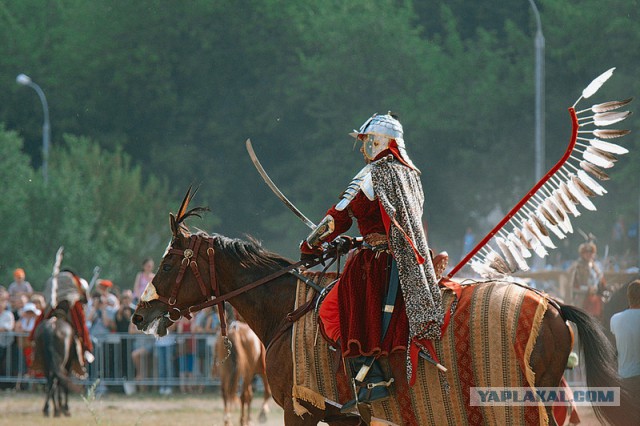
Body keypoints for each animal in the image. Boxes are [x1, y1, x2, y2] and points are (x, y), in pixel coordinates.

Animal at [132, 191, 640, 424]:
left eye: (169, 261)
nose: (140, 314)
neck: (286, 313)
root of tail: (552, 303)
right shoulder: (346, 416)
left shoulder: (301, 411)